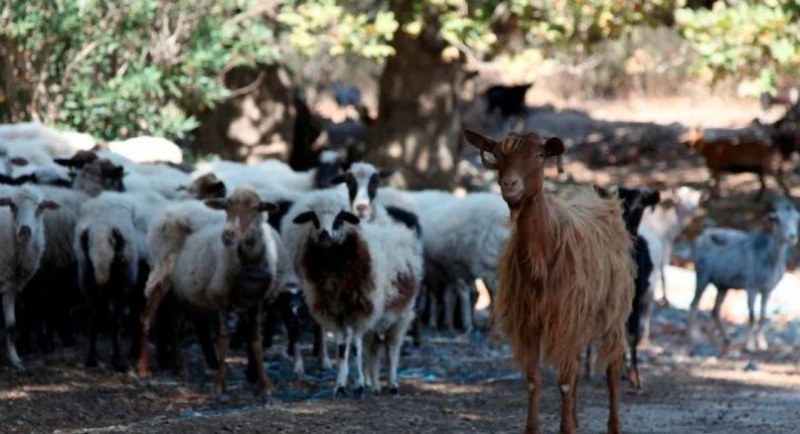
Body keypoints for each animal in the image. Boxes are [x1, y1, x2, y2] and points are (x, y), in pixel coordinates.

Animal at [462, 130, 632, 434]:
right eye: (498, 154)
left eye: (540, 155)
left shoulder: (565, 318)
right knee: (577, 365)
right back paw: (576, 417)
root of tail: (604, 202)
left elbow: (563, 382)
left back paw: (613, 426)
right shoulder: (529, 321)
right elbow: (533, 380)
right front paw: (535, 428)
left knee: (612, 367)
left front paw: (566, 428)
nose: (510, 184)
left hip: (613, 310)